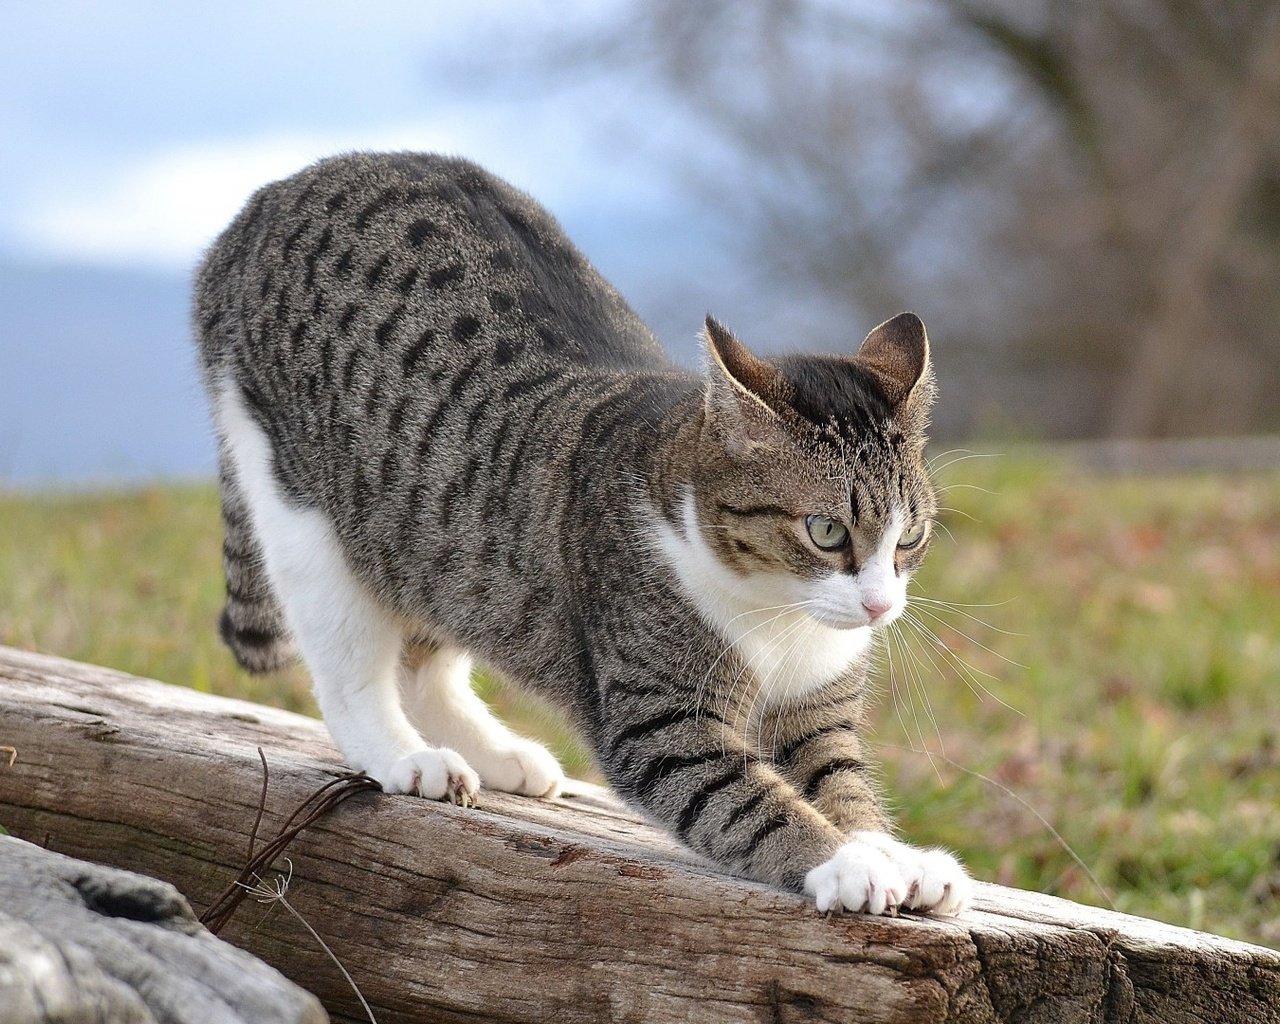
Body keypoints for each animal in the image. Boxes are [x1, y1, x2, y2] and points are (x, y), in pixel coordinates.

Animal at [192, 152, 967, 921]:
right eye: (827, 530)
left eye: (911, 535)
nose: (879, 606)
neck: (779, 617)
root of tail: (272, 196)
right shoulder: (661, 724)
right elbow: (755, 805)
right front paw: (847, 862)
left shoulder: (816, 718)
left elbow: (842, 786)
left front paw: (896, 855)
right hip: (303, 506)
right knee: (350, 667)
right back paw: (407, 758)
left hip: (444, 543)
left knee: (428, 650)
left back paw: (499, 755)